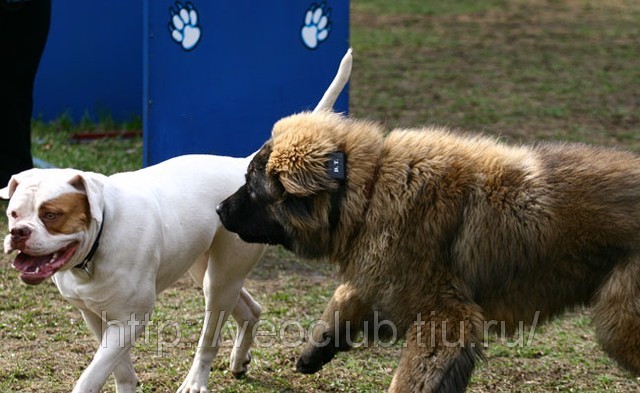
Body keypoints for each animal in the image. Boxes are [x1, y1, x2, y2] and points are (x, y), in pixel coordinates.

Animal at [0, 49, 352, 392]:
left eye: (51, 215)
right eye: (13, 214)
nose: (18, 233)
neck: (99, 241)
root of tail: (240, 165)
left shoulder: (131, 319)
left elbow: (93, 374)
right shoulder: (95, 315)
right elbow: (118, 368)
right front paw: (129, 384)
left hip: (221, 279)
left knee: (209, 338)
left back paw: (196, 381)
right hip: (203, 268)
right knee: (250, 309)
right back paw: (239, 362)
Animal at [218, 111, 640, 392]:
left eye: (252, 185)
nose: (219, 209)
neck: (367, 190)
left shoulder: (444, 317)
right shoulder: (386, 280)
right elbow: (346, 295)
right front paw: (316, 348)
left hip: (618, 322)